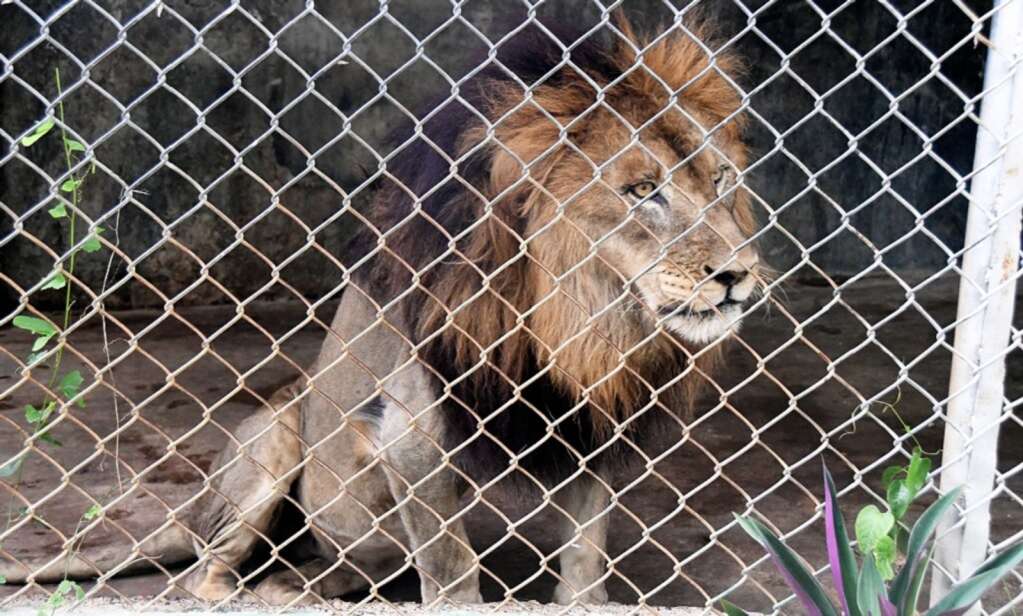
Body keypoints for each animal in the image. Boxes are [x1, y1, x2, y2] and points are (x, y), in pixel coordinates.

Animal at [0, 15, 761, 606]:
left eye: (721, 178)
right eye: (641, 191)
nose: (736, 274)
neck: (581, 317)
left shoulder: (591, 415)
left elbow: (585, 546)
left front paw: (583, 599)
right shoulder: (410, 435)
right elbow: (452, 567)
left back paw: (294, 585)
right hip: (274, 436)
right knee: (205, 577)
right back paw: (260, 594)